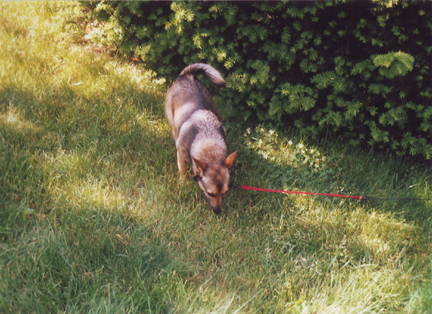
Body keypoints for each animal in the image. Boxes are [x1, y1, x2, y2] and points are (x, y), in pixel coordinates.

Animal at [165, 62, 238, 215]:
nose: (218, 211)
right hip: (172, 121)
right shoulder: (181, 153)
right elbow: (182, 170)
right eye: (210, 194)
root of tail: (187, 75)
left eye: (225, 193)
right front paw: (183, 183)